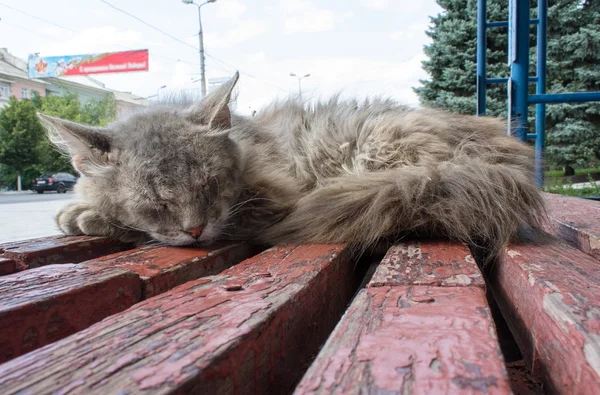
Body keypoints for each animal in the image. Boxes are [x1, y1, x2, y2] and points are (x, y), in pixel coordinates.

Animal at [39, 72, 548, 262]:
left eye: (210, 187)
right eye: (156, 203)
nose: (196, 231)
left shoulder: (268, 203)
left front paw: (87, 215)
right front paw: (79, 208)